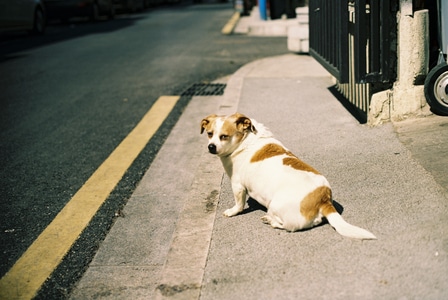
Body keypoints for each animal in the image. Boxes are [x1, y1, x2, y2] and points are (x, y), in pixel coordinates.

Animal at [201, 112, 376, 239]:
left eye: (224, 136)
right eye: (209, 134)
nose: (211, 147)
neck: (246, 140)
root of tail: (324, 198)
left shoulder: (237, 186)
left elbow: (239, 204)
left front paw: (232, 211)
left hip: (275, 204)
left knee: (286, 226)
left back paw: (269, 220)